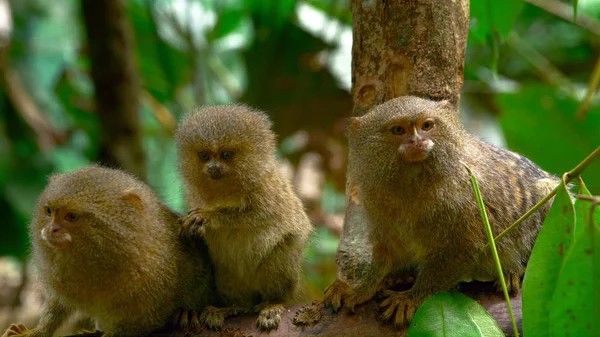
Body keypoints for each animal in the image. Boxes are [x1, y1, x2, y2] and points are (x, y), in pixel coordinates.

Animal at [1, 166, 213, 336]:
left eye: (71, 216)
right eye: (49, 211)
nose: (51, 229)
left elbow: (139, 323)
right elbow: (56, 307)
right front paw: (37, 331)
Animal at [175, 105, 312, 330]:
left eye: (226, 155)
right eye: (204, 155)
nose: (213, 167)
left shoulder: (267, 191)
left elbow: (257, 215)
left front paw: (208, 217)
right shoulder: (191, 195)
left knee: (279, 252)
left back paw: (273, 303)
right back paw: (231, 307)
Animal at [324, 96, 556, 326]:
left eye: (427, 126)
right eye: (398, 130)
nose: (416, 141)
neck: (412, 183)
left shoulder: (466, 203)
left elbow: (458, 253)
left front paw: (411, 298)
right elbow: (387, 253)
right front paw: (360, 289)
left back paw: (514, 271)